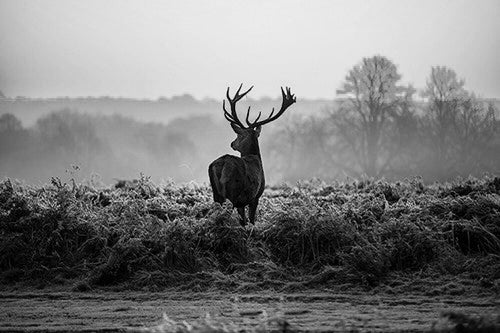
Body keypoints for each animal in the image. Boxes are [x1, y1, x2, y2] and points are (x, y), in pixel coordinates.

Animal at [208, 84, 294, 227]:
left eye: (239, 135)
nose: (232, 143)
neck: (255, 157)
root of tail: (221, 165)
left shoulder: (243, 202)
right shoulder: (255, 196)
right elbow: (251, 220)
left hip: (216, 193)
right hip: (233, 193)